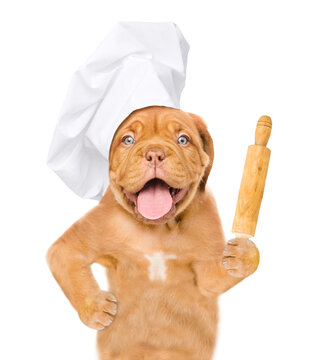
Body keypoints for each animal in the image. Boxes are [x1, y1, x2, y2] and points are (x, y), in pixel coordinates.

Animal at [46, 105, 260, 358]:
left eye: (182, 139)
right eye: (128, 140)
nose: (155, 154)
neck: (158, 229)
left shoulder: (205, 271)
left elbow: (213, 277)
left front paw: (243, 254)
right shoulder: (76, 242)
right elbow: (72, 271)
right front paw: (96, 307)